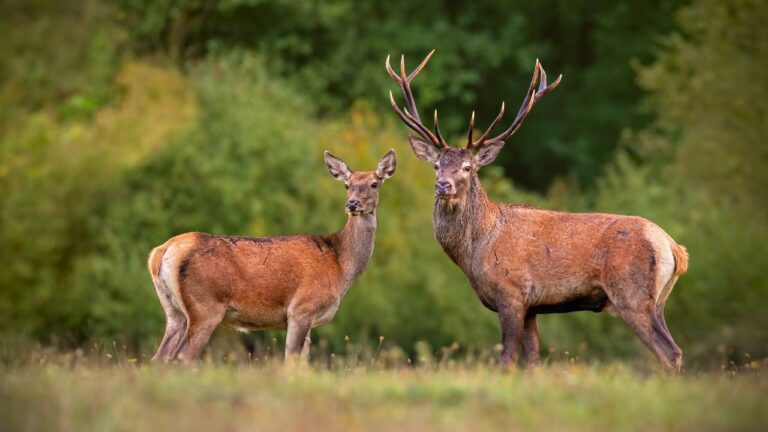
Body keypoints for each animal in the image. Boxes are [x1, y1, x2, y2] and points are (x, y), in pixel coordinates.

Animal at [147, 150, 397, 363]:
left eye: (374, 183)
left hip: (173, 311)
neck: (340, 265)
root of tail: (161, 252)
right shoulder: (301, 309)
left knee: (158, 358)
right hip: (205, 307)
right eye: (347, 185)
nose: (352, 204)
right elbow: (291, 361)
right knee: (180, 358)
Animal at [386, 50, 689, 372]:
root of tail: (673, 247)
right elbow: (532, 361)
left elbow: (507, 358)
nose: (443, 185)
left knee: (669, 351)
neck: (476, 250)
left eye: (467, 167)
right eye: (436, 165)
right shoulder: (533, 307)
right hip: (659, 300)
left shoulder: (511, 294)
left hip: (632, 295)